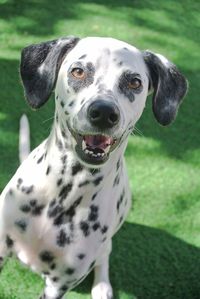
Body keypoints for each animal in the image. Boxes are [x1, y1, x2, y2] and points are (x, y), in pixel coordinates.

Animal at [0, 36, 188, 298]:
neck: (64, 193)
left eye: (134, 82)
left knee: (104, 259)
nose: (104, 112)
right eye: (78, 71)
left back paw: (102, 286)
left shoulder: (59, 283)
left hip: (105, 246)